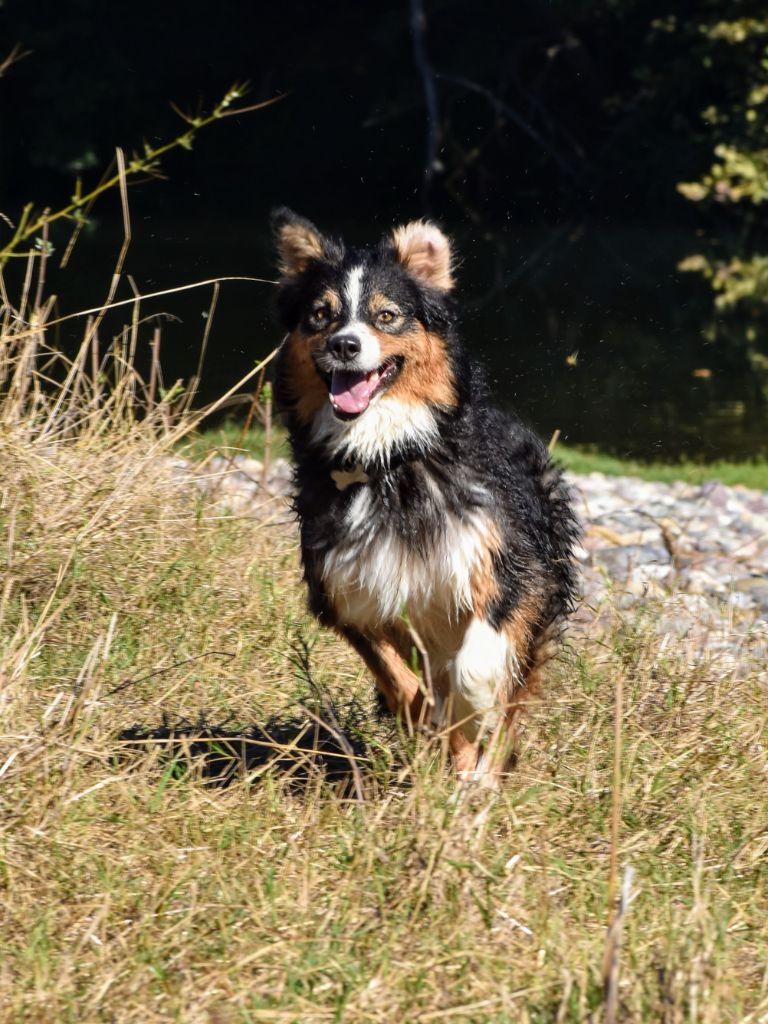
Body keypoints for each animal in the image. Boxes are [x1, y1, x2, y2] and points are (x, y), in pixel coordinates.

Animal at [274, 205, 581, 782]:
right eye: (321, 315)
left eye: (387, 315)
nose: (345, 345)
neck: (389, 459)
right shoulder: (346, 590)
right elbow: (398, 680)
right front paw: (427, 724)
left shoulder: (507, 563)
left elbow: (478, 667)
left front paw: (471, 711)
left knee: (511, 692)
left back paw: (480, 777)